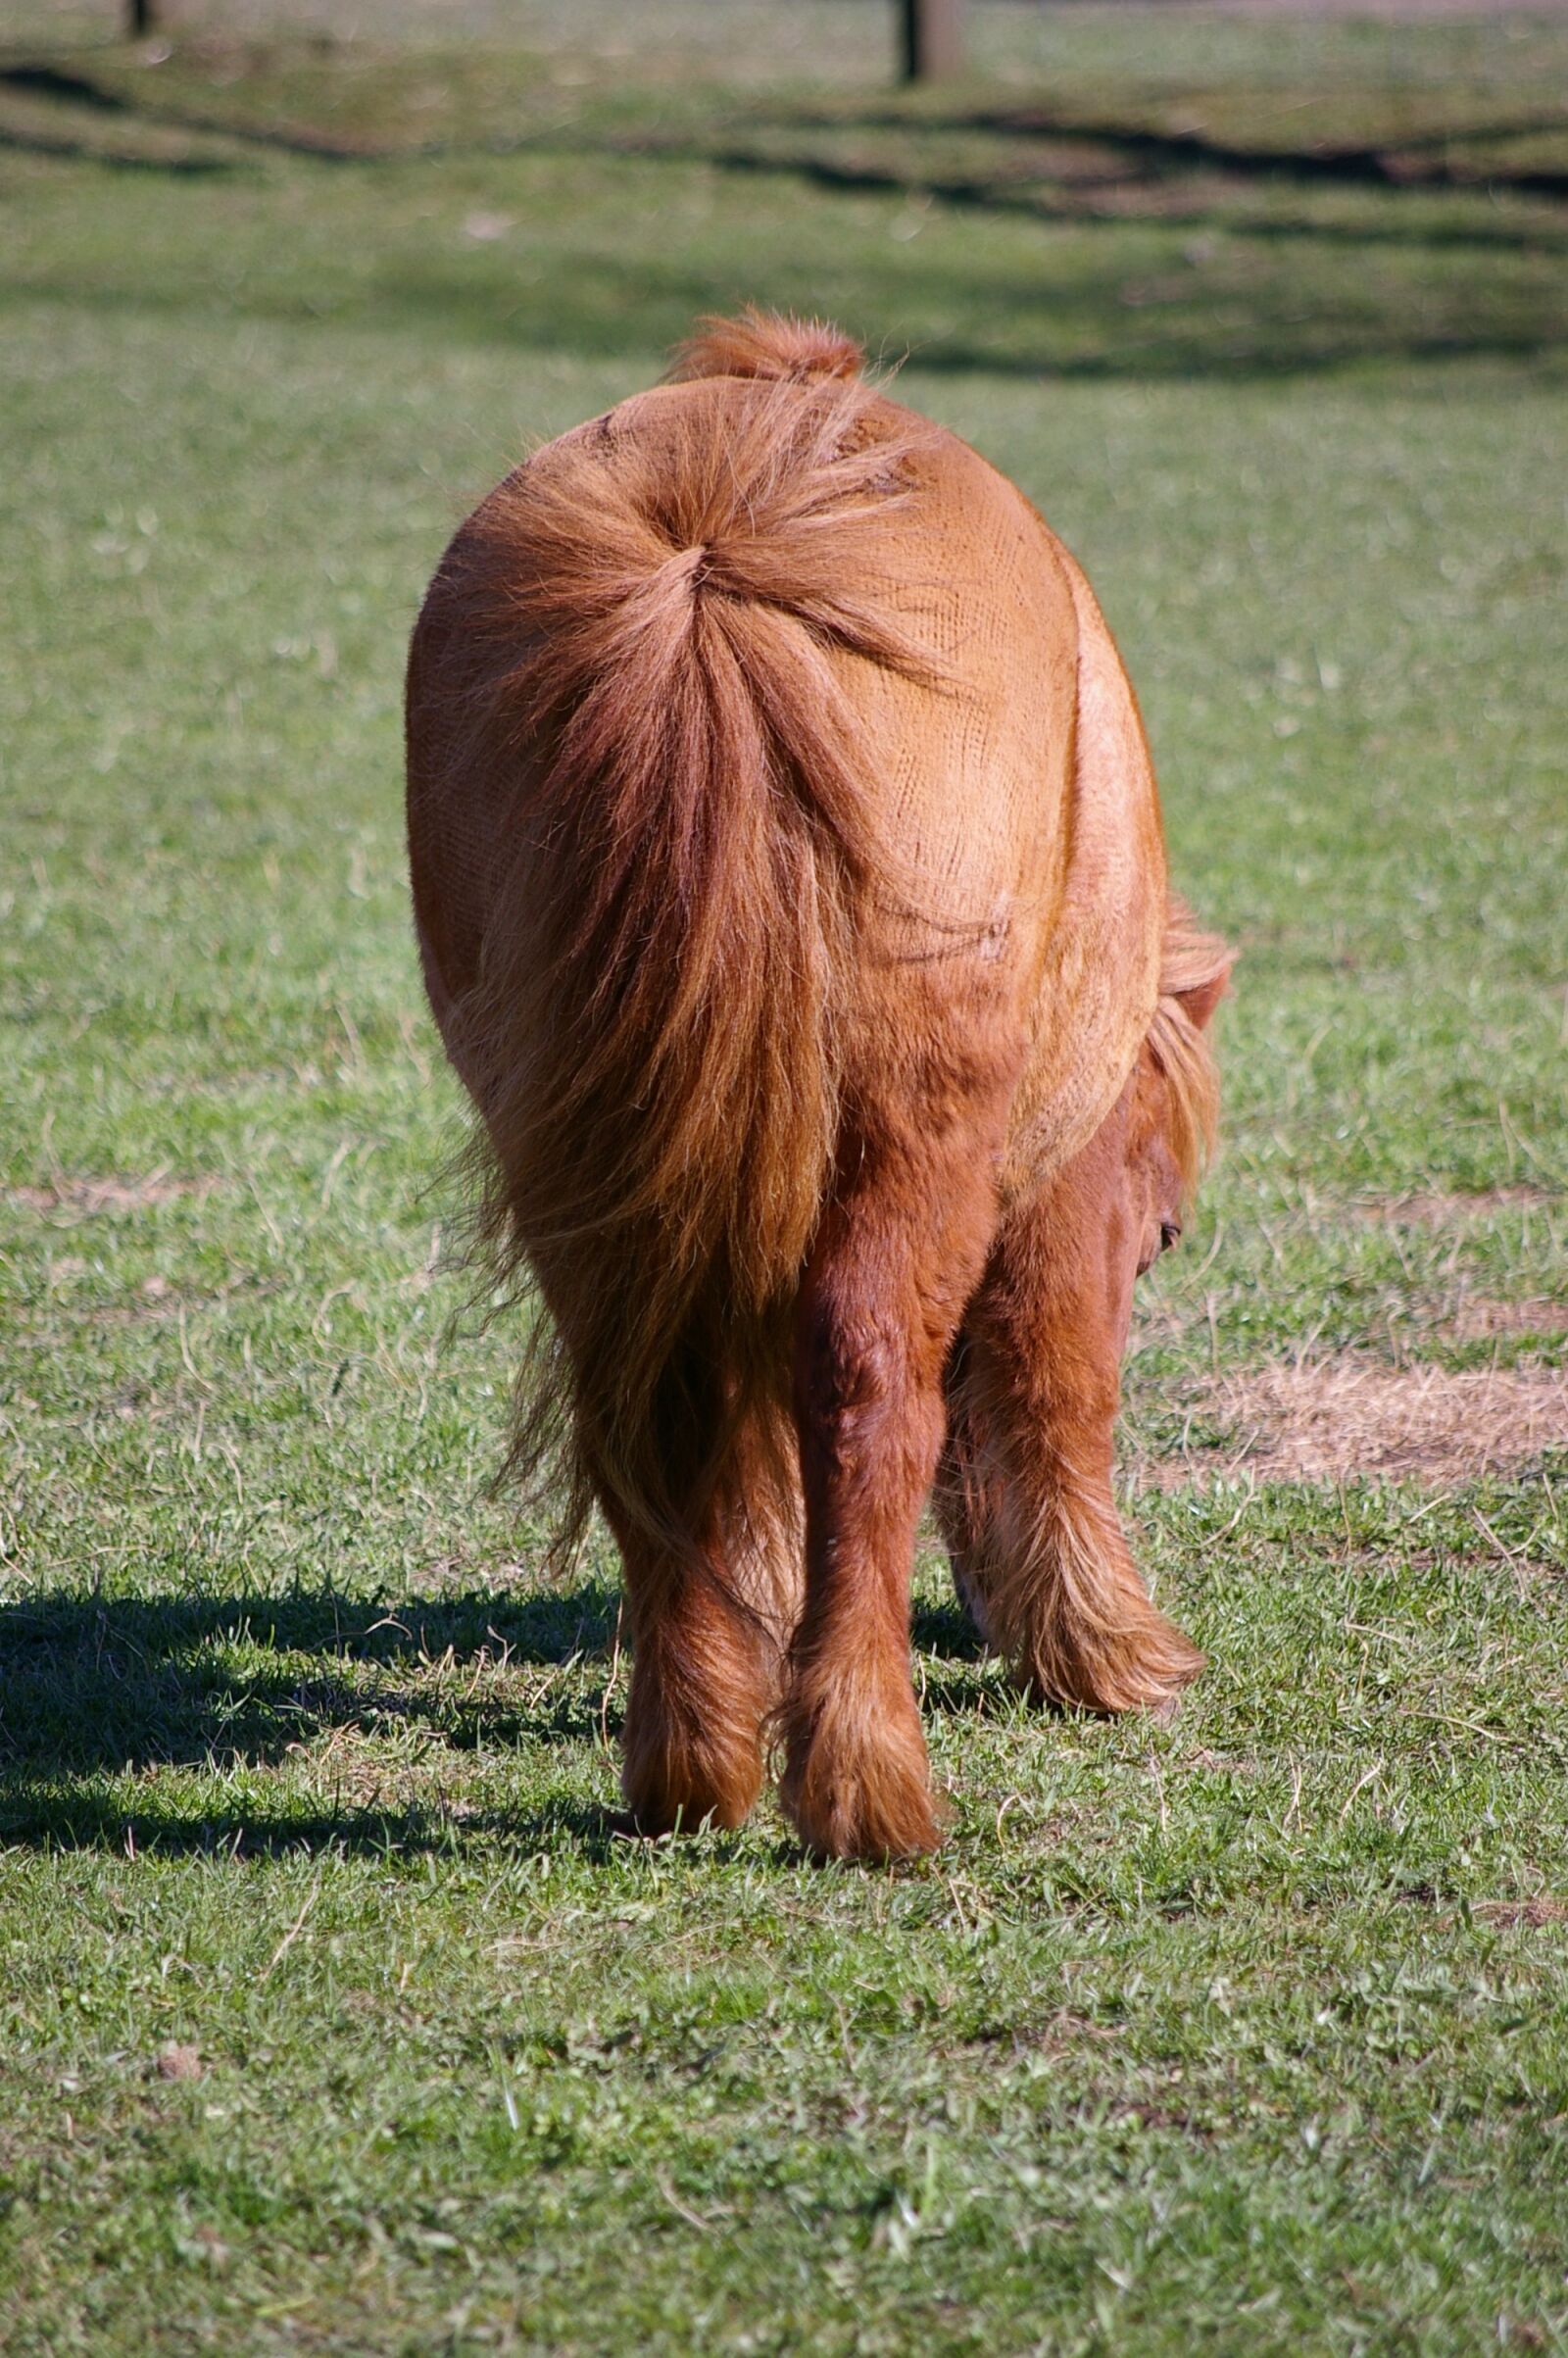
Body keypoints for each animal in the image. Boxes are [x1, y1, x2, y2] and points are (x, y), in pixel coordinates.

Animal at [405, 309, 1235, 1857]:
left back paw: (692, 1760)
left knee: (647, 1401)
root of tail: (709, 560)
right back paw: (867, 1781)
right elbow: (1053, 1384)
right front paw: (1109, 1652)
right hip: (906, 1135)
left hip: (581, 1153)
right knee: (871, 1392)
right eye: (1154, 1233)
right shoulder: (1050, 1191)